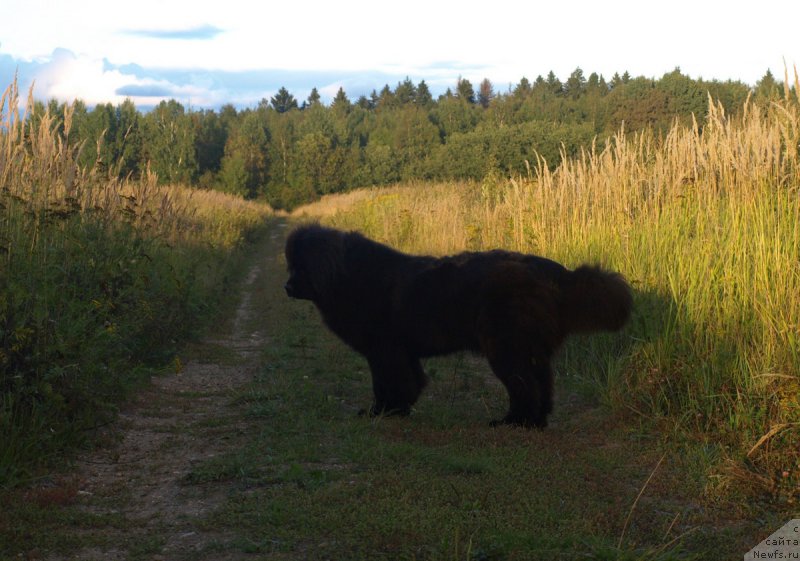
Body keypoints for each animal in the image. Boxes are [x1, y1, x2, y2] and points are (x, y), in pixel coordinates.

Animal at [288, 223, 632, 424]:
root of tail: (560, 275)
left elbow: (388, 382)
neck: (348, 277)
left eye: (299, 267)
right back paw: (536, 418)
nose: (286, 286)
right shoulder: (400, 351)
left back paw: (514, 421)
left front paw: (384, 412)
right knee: (541, 382)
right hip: (528, 347)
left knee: (525, 385)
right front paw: (399, 409)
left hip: (506, 346)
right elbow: (409, 381)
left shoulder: (385, 350)